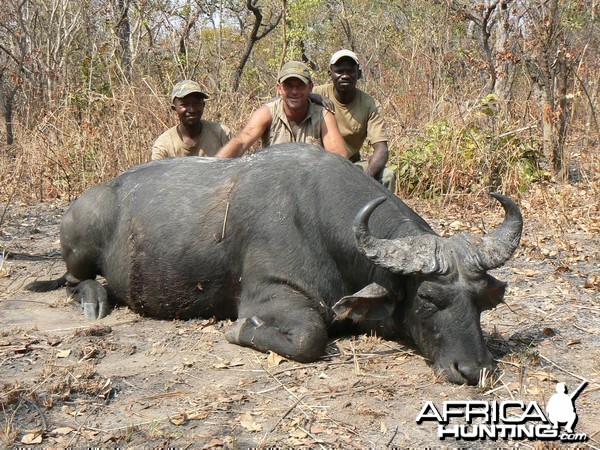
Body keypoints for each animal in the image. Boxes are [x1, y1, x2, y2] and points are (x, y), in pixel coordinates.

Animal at [25, 143, 520, 384]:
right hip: (81, 241)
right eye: (429, 299)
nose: (476, 370)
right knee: (73, 278)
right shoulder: (272, 296)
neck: (316, 215)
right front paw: (239, 332)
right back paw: (94, 299)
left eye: (481, 302)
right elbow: (309, 336)